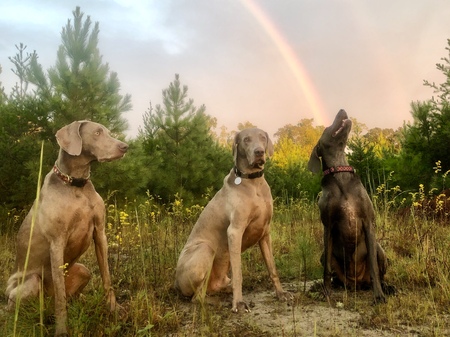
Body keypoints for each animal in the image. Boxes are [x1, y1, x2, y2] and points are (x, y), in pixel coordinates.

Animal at [5, 121, 128, 336]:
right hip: (30, 282)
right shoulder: (57, 242)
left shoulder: (100, 233)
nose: (125, 147)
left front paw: (114, 311)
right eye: (97, 133)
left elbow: (107, 278)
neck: (76, 185)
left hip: (83, 270)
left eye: (107, 131)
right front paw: (61, 330)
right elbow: (61, 296)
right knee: (20, 308)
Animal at [172, 127, 292, 312]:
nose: (259, 152)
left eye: (262, 137)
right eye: (246, 139)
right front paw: (239, 303)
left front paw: (281, 294)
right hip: (205, 249)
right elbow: (238, 273)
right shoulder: (234, 232)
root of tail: (176, 284)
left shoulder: (265, 233)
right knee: (197, 298)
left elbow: (272, 268)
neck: (254, 183)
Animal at [308, 109, 388, 302]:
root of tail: (356, 283)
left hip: (380, 249)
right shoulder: (328, 225)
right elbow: (326, 268)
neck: (340, 172)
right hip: (324, 255)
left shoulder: (368, 222)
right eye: (326, 128)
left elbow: (373, 267)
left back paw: (386, 287)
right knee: (333, 273)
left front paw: (379, 295)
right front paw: (326, 292)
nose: (342, 110)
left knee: (379, 271)